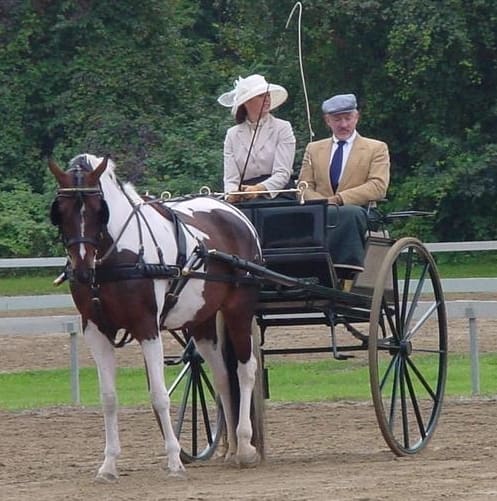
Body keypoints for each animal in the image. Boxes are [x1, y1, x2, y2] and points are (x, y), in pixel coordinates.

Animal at [49, 152, 266, 480]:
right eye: (60, 211)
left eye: (100, 210)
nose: (83, 269)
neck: (118, 254)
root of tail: (233, 211)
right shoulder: (95, 330)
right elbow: (108, 397)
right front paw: (108, 465)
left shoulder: (146, 326)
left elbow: (160, 395)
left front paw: (175, 461)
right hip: (202, 321)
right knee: (222, 378)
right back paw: (229, 451)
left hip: (238, 309)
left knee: (245, 370)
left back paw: (244, 447)